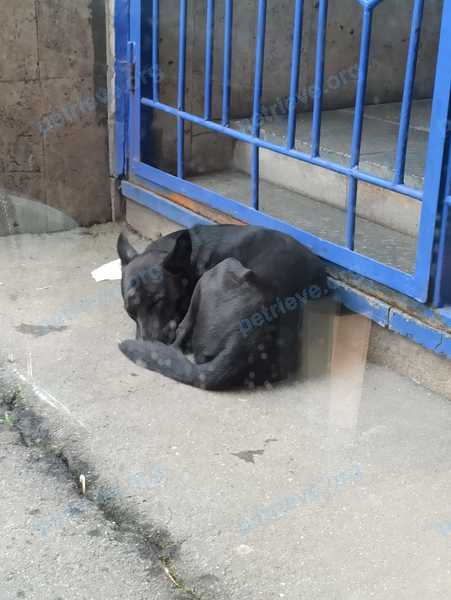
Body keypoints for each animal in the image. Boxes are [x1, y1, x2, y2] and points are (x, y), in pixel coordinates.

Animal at [117, 225, 328, 390]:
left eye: (159, 300)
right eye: (130, 310)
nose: (147, 341)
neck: (192, 260)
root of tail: (244, 338)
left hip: (219, 270)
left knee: (180, 337)